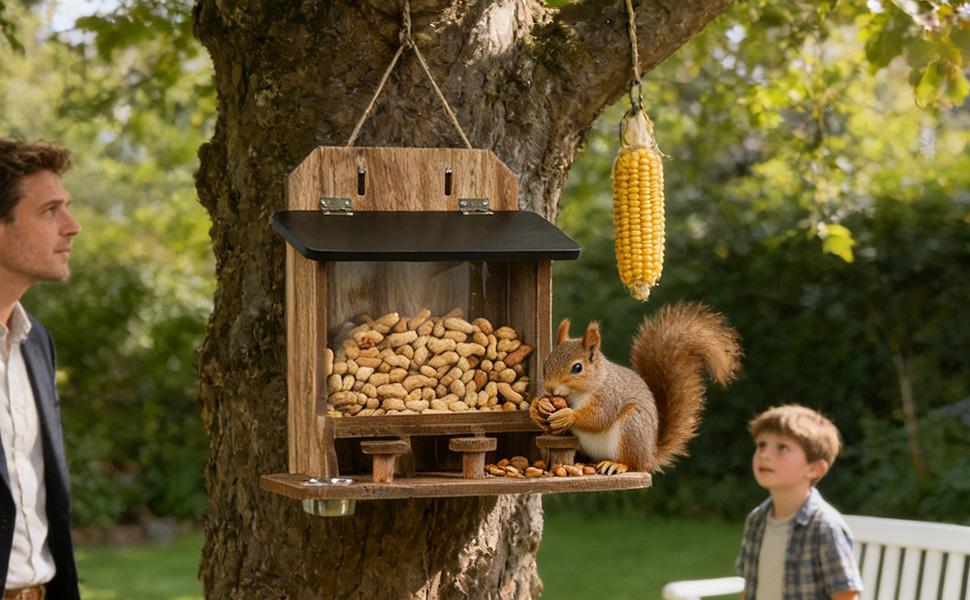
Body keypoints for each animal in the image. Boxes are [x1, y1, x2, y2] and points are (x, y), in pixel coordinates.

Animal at [530, 302, 742, 475]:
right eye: (545, 363)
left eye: (577, 368)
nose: (550, 388)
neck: (579, 393)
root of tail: (650, 456)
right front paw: (536, 408)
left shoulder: (609, 396)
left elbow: (599, 417)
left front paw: (568, 415)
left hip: (633, 427)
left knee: (634, 464)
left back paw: (617, 465)